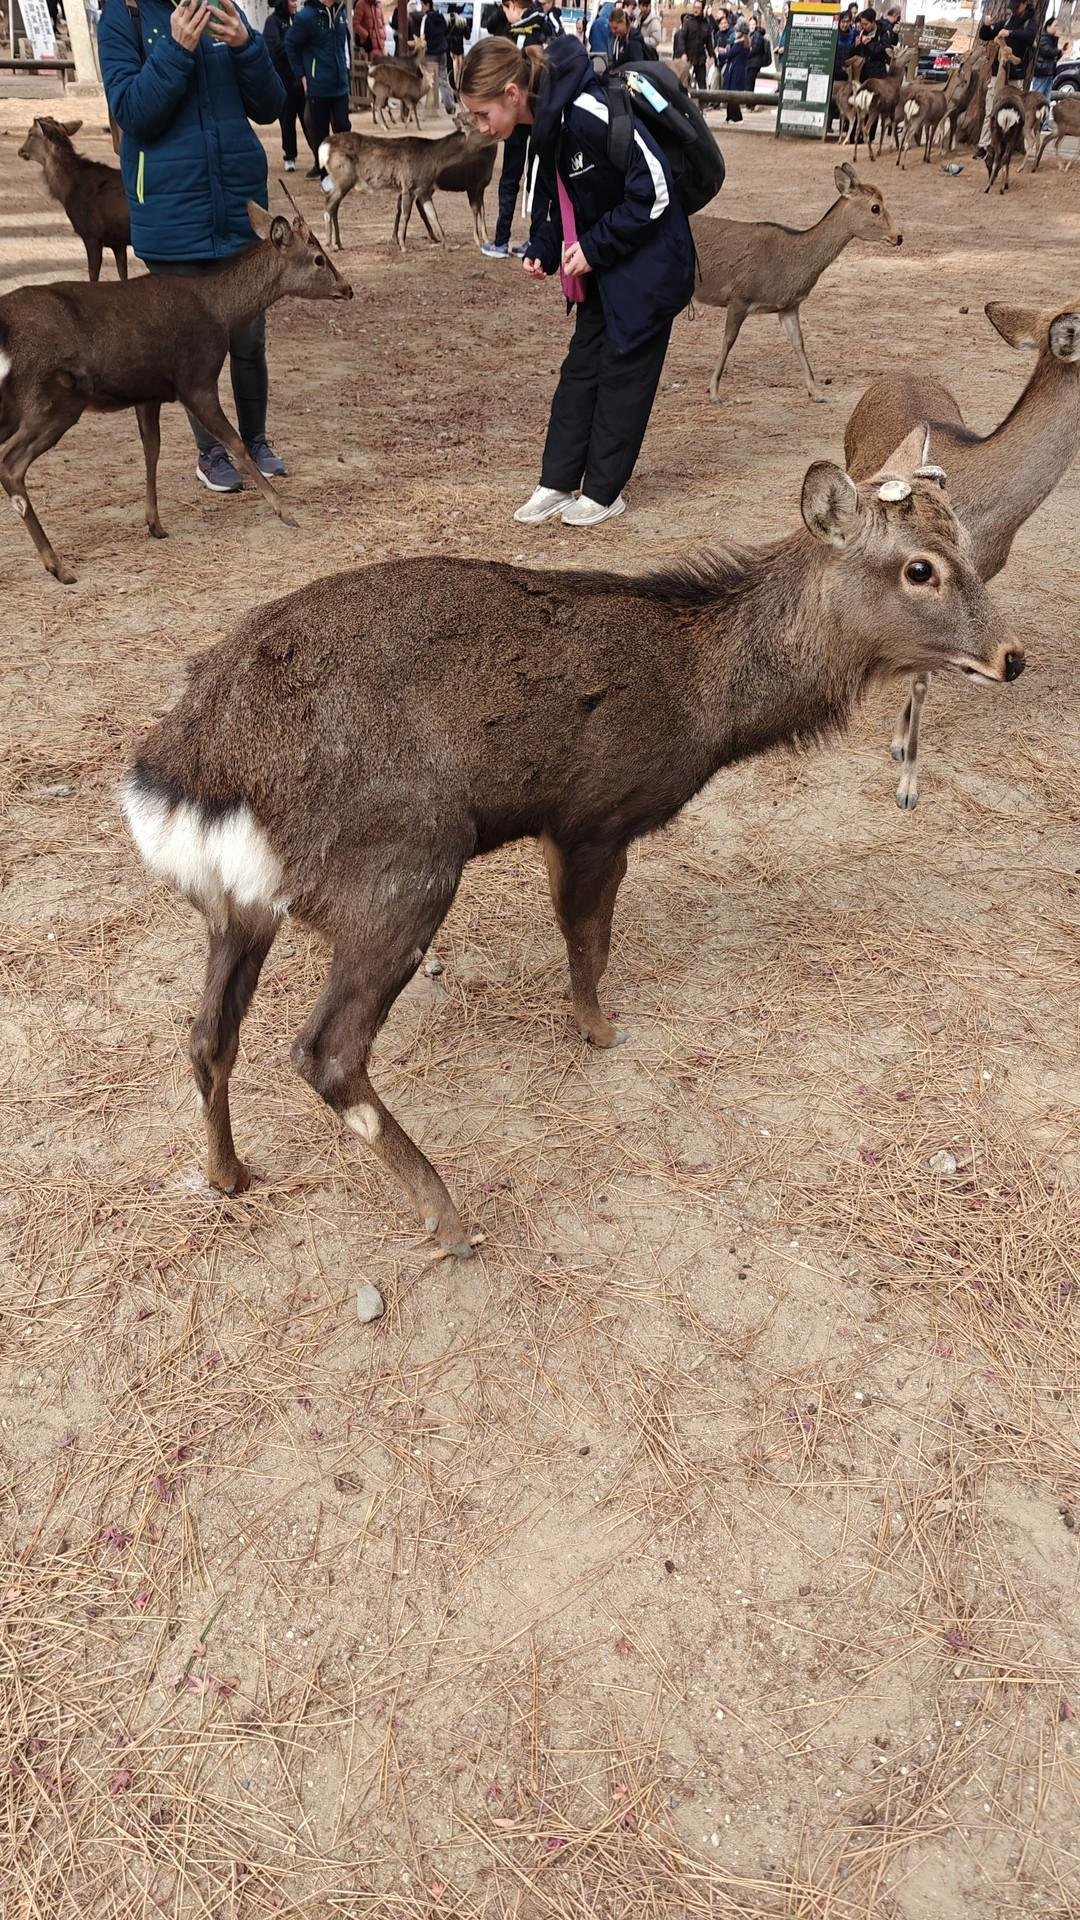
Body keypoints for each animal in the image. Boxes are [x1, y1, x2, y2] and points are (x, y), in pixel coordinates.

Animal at [0, 203, 351, 585]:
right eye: (319, 259)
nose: (347, 287)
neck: (222, 311)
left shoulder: (148, 393)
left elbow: (151, 450)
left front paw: (155, 524)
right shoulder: (196, 379)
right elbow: (235, 443)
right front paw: (285, 510)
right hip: (51, 400)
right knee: (11, 465)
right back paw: (57, 565)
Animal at [18, 116, 130, 283]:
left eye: (30, 133)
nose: (20, 150)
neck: (67, 192)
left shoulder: (91, 234)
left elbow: (93, 275)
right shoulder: (118, 242)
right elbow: (123, 275)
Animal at [119, 427, 1023, 1261]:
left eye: (965, 544)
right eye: (920, 569)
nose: (1011, 656)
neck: (703, 706)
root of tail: (185, 777)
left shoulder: (564, 824)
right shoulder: (596, 810)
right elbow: (590, 938)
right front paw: (600, 1029)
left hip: (235, 905)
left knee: (206, 1038)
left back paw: (229, 1174)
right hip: (402, 863)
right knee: (324, 1052)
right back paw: (448, 1217)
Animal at [321, 124, 496, 252]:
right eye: (480, 128)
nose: (496, 133)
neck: (432, 159)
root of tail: (324, 147)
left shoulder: (423, 190)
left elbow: (433, 215)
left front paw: (447, 244)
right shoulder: (408, 186)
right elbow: (406, 215)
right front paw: (403, 245)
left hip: (342, 181)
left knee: (334, 207)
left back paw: (338, 243)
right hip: (343, 176)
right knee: (329, 203)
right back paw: (330, 244)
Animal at [692, 164, 902, 405]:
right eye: (875, 207)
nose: (899, 237)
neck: (789, 267)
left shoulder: (789, 306)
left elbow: (798, 342)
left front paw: (817, 393)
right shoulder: (739, 296)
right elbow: (728, 340)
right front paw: (714, 392)